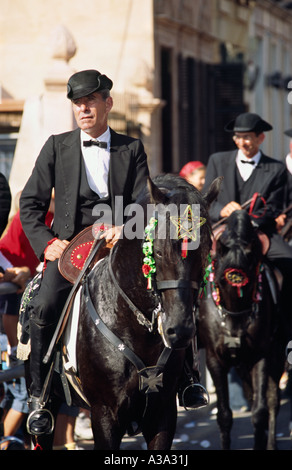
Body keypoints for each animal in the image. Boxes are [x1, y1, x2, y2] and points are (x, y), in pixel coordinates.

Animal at [197, 211, 286, 450]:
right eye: (219, 279)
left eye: (253, 275)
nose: (236, 328)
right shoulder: (215, 360)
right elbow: (224, 416)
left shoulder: (261, 356)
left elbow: (260, 411)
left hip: (276, 355)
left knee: (272, 400)